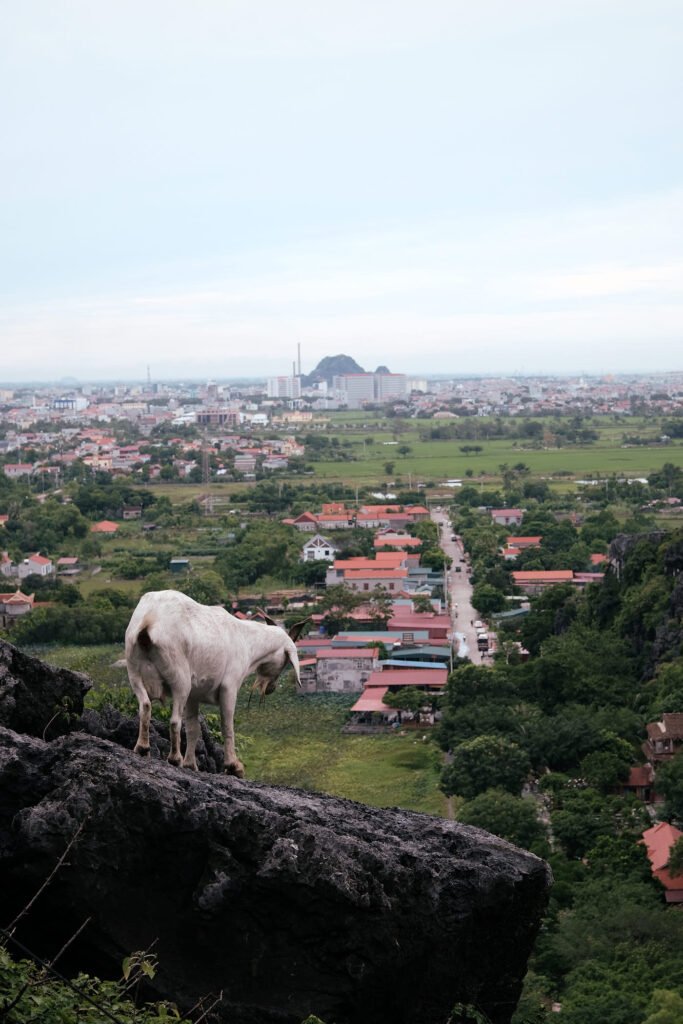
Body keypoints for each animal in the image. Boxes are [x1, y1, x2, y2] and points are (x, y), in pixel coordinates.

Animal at [124, 593, 305, 774]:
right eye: (286, 662)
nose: (270, 689)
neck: (248, 641)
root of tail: (150, 620)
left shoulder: (193, 695)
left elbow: (193, 728)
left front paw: (191, 764)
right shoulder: (229, 686)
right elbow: (227, 725)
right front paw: (233, 766)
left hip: (133, 670)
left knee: (145, 705)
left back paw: (142, 748)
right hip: (179, 677)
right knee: (175, 720)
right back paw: (175, 758)